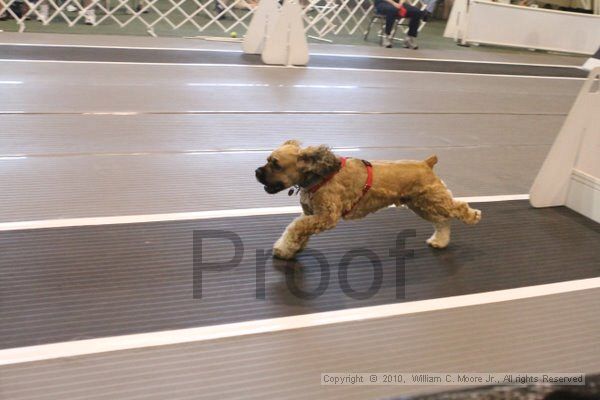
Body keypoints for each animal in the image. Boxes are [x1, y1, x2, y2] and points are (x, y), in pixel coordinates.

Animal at [255, 140, 480, 260]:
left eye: (276, 164)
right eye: (268, 160)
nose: (257, 172)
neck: (319, 175)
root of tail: (426, 164)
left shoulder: (326, 217)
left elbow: (294, 228)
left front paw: (282, 248)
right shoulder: (311, 215)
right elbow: (299, 230)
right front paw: (293, 248)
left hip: (434, 200)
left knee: (458, 208)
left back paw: (474, 216)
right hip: (422, 205)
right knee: (442, 221)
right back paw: (440, 241)